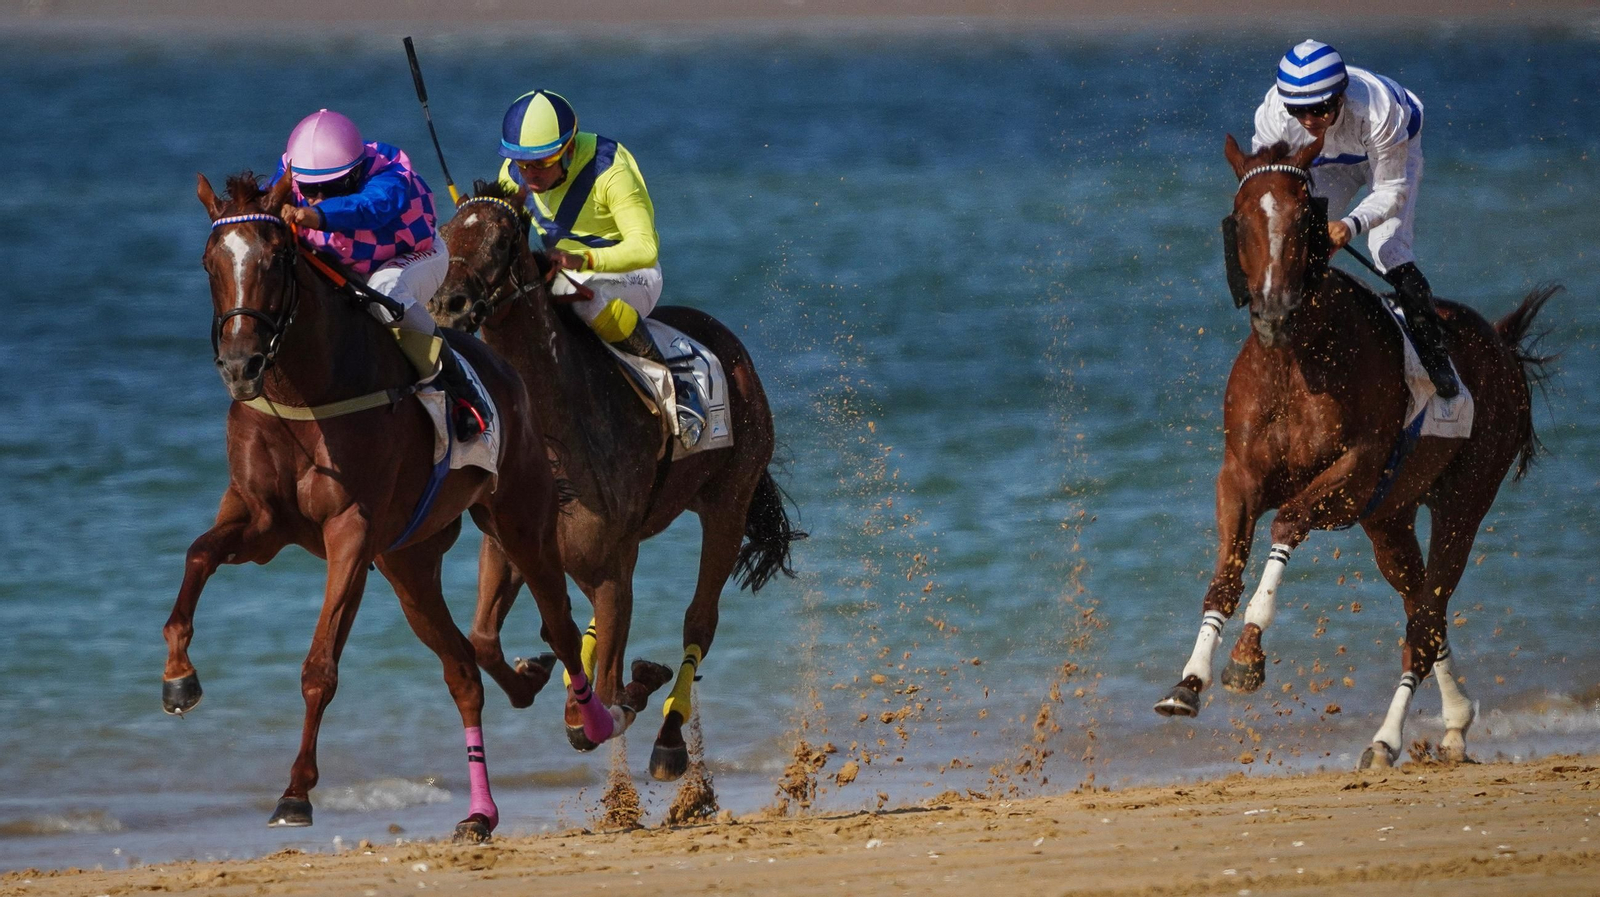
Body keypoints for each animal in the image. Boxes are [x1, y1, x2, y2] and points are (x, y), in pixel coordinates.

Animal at [163, 171, 632, 841]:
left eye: (276, 258)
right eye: (210, 264)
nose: (239, 364)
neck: (304, 391)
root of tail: (508, 372)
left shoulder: (351, 532)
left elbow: (320, 667)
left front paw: (296, 792)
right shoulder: (259, 522)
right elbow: (198, 555)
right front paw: (179, 677)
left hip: (519, 521)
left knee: (563, 627)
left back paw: (591, 721)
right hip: (408, 565)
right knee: (464, 669)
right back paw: (485, 802)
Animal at [427, 180, 803, 782]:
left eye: (504, 238)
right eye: (444, 232)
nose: (448, 304)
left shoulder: (609, 565)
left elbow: (601, 707)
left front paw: (629, 693)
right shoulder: (511, 546)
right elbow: (485, 639)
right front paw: (535, 674)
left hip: (728, 500)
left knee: (699, 622)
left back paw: (669, 739)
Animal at [1153, 136, 1555, 768]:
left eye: (1305, 219)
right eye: (1241, 217)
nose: (1273, 310)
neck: (1297, 358)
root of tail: (1500, 343)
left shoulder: (1353, 476)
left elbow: (1288, 523)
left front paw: (1248, 655)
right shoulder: (1239, 477)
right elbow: (1226, 574)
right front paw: (1188, 683)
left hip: (1462, 503)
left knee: (1426, 618)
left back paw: (1386, 740)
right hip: (1390, 521)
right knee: (1424, 612)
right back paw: (1455, 722)